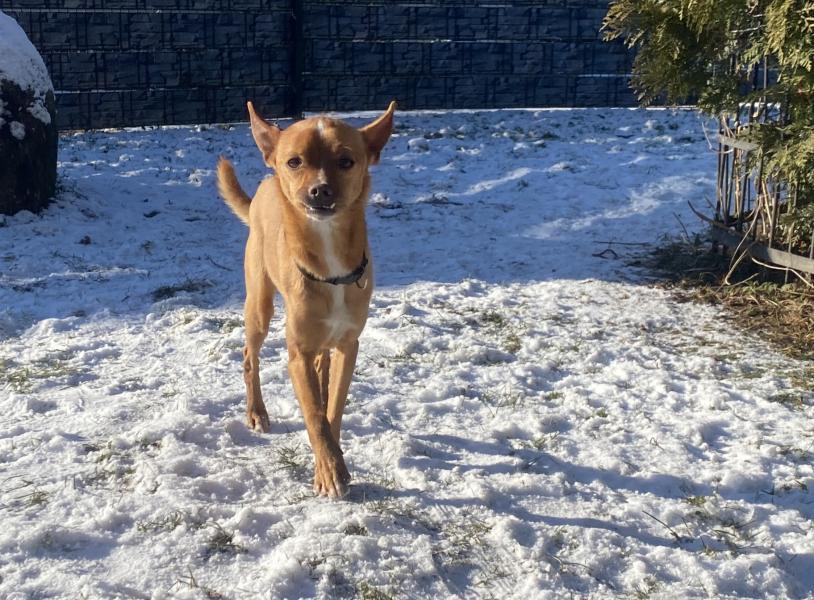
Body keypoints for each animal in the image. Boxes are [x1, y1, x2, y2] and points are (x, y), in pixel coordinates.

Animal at [216, 101, 395, 497]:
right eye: (295, 161)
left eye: (346, 161)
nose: (320, 191)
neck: (329, 256)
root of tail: (265, 185)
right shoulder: (296, 351)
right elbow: (314, 415)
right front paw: (329, 471)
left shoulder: (348, 345)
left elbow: (332, 408)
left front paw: (332, 456)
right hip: (260, 305)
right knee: (250, 356)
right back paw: (257, 412)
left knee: (320, 365)